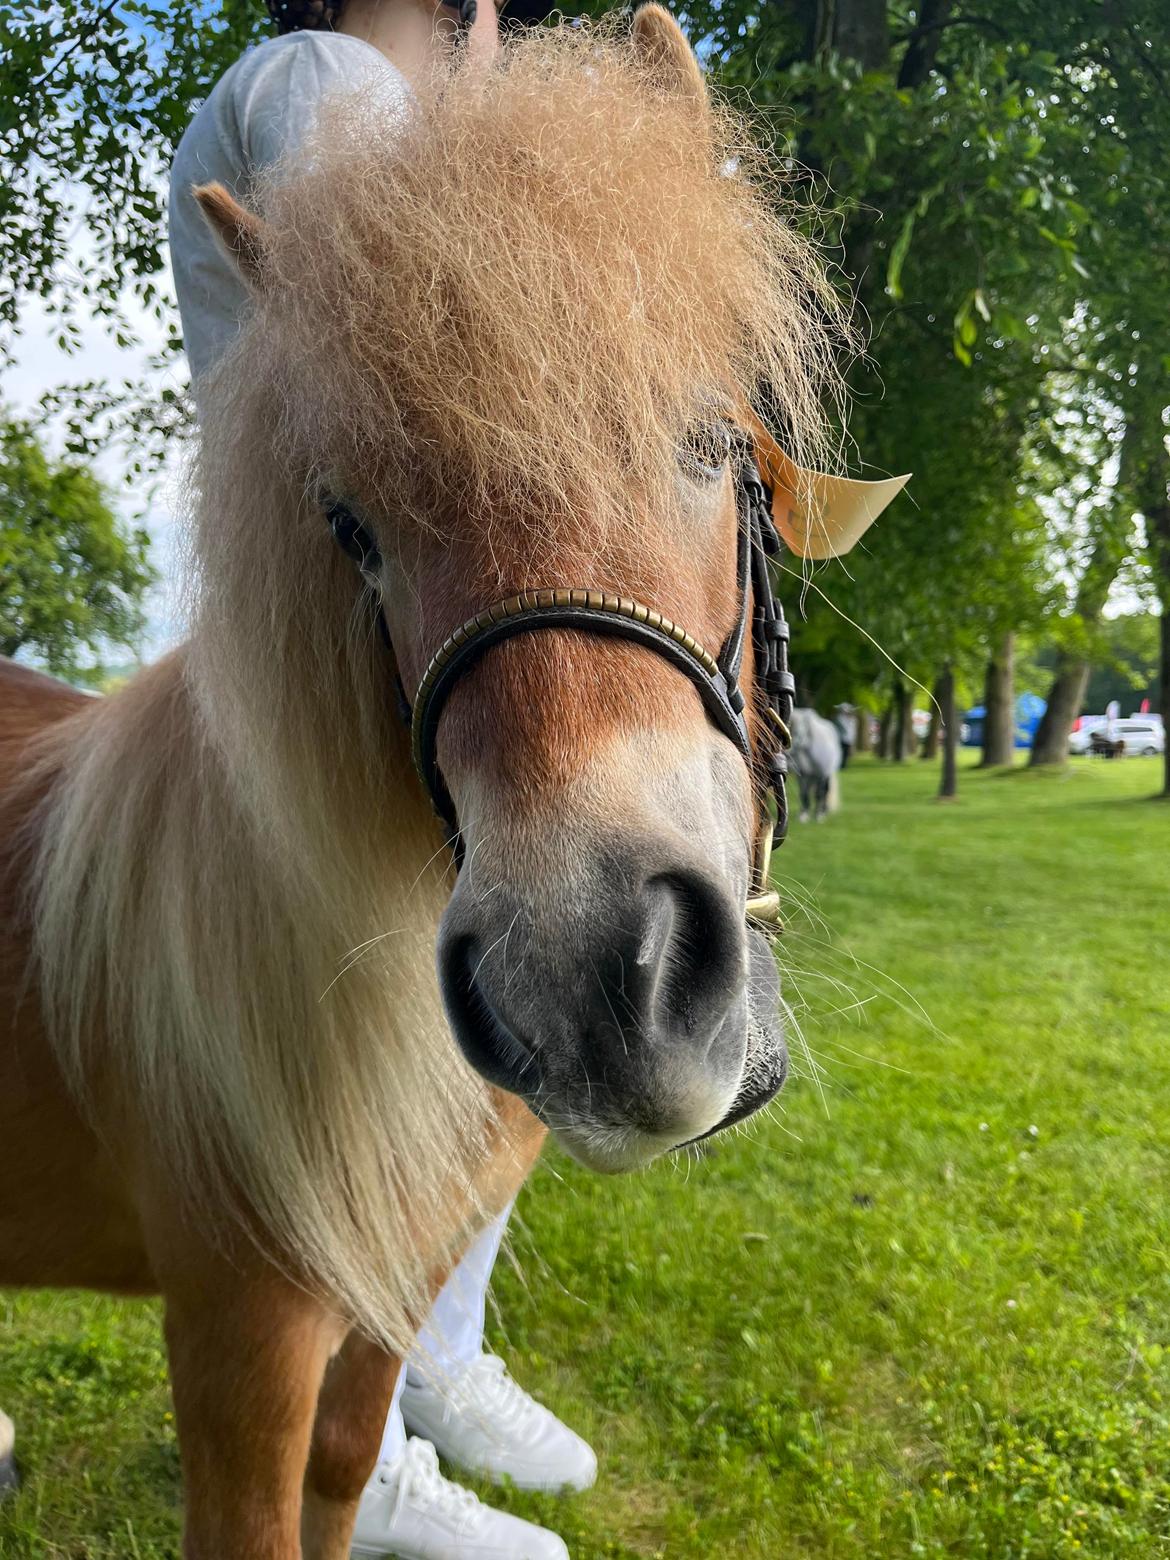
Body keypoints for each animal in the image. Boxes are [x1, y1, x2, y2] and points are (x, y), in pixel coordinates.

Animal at [0, 15, 842, 1560]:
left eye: (713, 441)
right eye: (353, 529)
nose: (600, 984)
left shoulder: (386, 1300)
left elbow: (346, 1475)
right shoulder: (242, 1338)